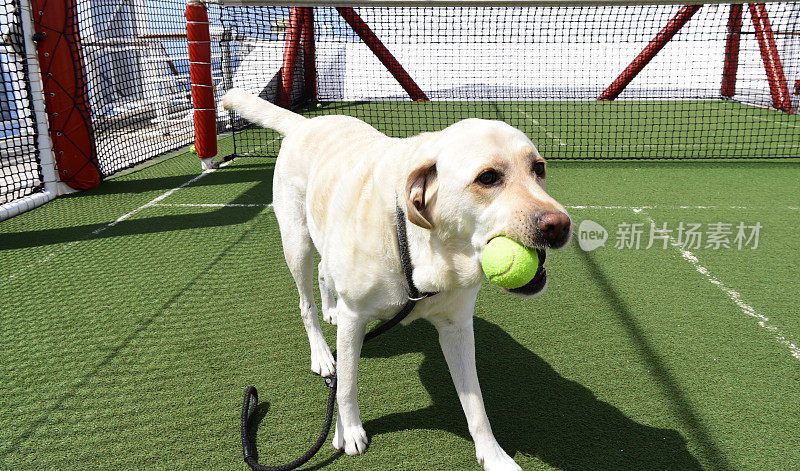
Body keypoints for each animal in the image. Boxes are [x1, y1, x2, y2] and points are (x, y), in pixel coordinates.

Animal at [223, 89, 568, 471]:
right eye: (488, 178)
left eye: (539, 168)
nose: (560, 225)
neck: (425, 250)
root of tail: (303, 123)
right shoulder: (355, 318)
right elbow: (346, 385)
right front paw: (348, 430)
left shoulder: (457, 328)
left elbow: (476, 404)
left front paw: (493, 455)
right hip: (296, 242)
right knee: (305, 303)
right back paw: (322, 353)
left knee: (325, 272)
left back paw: (330, 309)